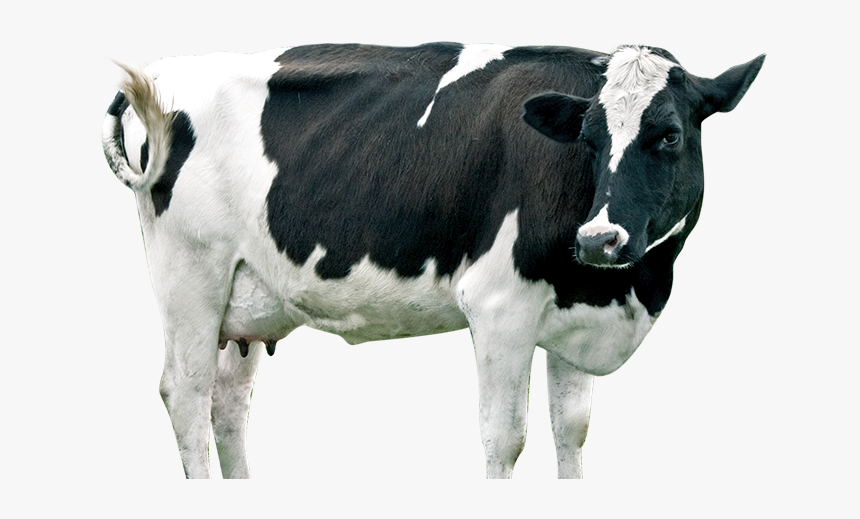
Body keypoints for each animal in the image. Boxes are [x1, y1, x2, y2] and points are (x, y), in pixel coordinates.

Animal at [102, 42, 764, 478]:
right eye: (589, 137)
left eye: (670, 134)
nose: (600, 239)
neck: (627, 292)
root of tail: (167, 70)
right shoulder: (499, 307)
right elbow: (505, 438)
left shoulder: (578, 314)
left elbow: (571, 430)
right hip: (191, 279)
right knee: (186, 395)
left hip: (245, 298)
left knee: (228, 404)